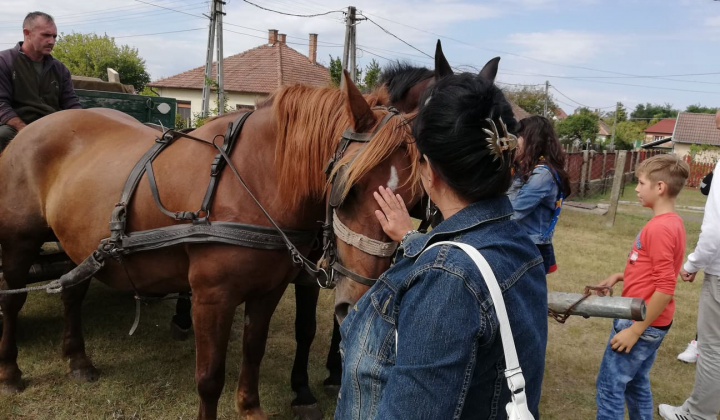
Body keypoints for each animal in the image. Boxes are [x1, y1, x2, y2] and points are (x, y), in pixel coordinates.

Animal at [0, 74, 414, 418]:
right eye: (349, 188)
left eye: (411, 200)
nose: (360, 300)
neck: (250, 180)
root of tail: (33, 127)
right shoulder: (211, 297)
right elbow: (210, 376)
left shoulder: (268, 291)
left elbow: (253, 350)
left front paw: (250, 409)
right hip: (18, 243)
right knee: (12, 300)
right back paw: (10, 370)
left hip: (80, 244)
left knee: (72, 293)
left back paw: (78, 360)